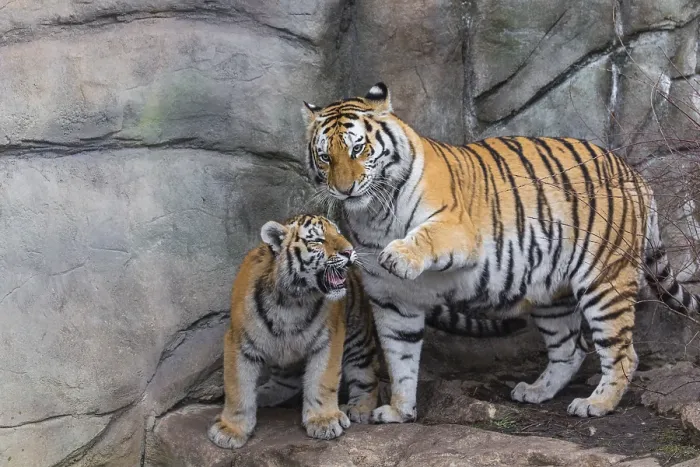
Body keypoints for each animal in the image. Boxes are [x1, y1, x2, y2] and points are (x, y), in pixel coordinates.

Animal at [207, 214, 380, 449]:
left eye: (339, 233)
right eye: (318, 240)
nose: (349, 251)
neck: (293, 300)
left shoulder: (329, 338)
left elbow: (322, 379)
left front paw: (324, 420)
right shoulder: (239, 341)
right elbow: (237, 387)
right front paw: (230, 430)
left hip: (357, 338)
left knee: (366, 376)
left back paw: (360, 408)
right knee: (287, 381)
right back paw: (262, 395)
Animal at [300, 82, 700, 422]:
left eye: (358, 149)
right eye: (325, 157)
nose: (345, 189)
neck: (373, 214)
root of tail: (635, 174)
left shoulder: (458, 229)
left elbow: (425, 235)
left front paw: (399, 255)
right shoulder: (392, 299)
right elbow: (400, 359)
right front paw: (399, 410)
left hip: (605, 279)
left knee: (622, 353)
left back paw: (596, 404)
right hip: (552, 294)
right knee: (569, 350)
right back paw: (536, 391)